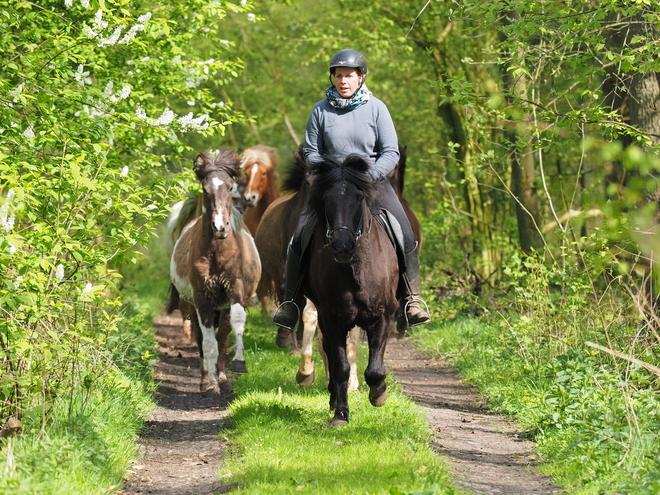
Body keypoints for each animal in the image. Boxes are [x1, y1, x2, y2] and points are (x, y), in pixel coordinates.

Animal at [166, 150, 262, 396]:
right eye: (205, 188)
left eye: (230, 187)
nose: (220, 227)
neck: (217, 251)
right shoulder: (201, 296)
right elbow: (207, 342)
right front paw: (210, 384)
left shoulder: (235, 288)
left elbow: (235, 324)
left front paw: (238, 364)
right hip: (191, 303)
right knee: (202, 337)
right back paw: (204, 379)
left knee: (224, 335)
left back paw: (223, 376)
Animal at [302, 155, 398, 426]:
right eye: (326, 200)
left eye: (358, 197)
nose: (342, 247)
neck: (354, 269)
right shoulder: (331, 318)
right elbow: (340, 366)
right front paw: (341, 413)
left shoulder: (382, 316)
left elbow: (374, 370)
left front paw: (379, 394)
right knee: (330, 354)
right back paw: (334, 400)